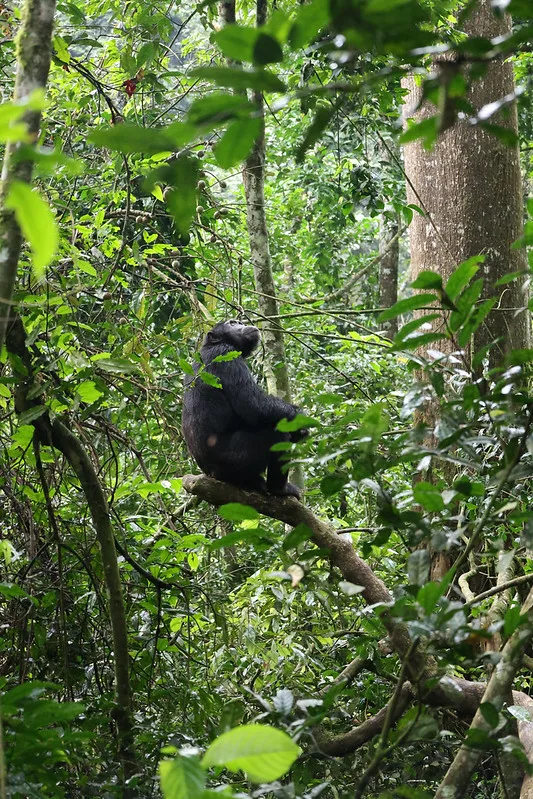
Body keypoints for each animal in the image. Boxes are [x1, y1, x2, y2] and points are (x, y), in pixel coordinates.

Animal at [181, 320, 304, 496]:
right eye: (232, 323)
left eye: (238, 322)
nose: (242, 323)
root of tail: (211, 473)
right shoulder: (226, 355)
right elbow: (253, 404)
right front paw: (300, 419)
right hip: (234, 460)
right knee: (275, 434)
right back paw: (279, 489)